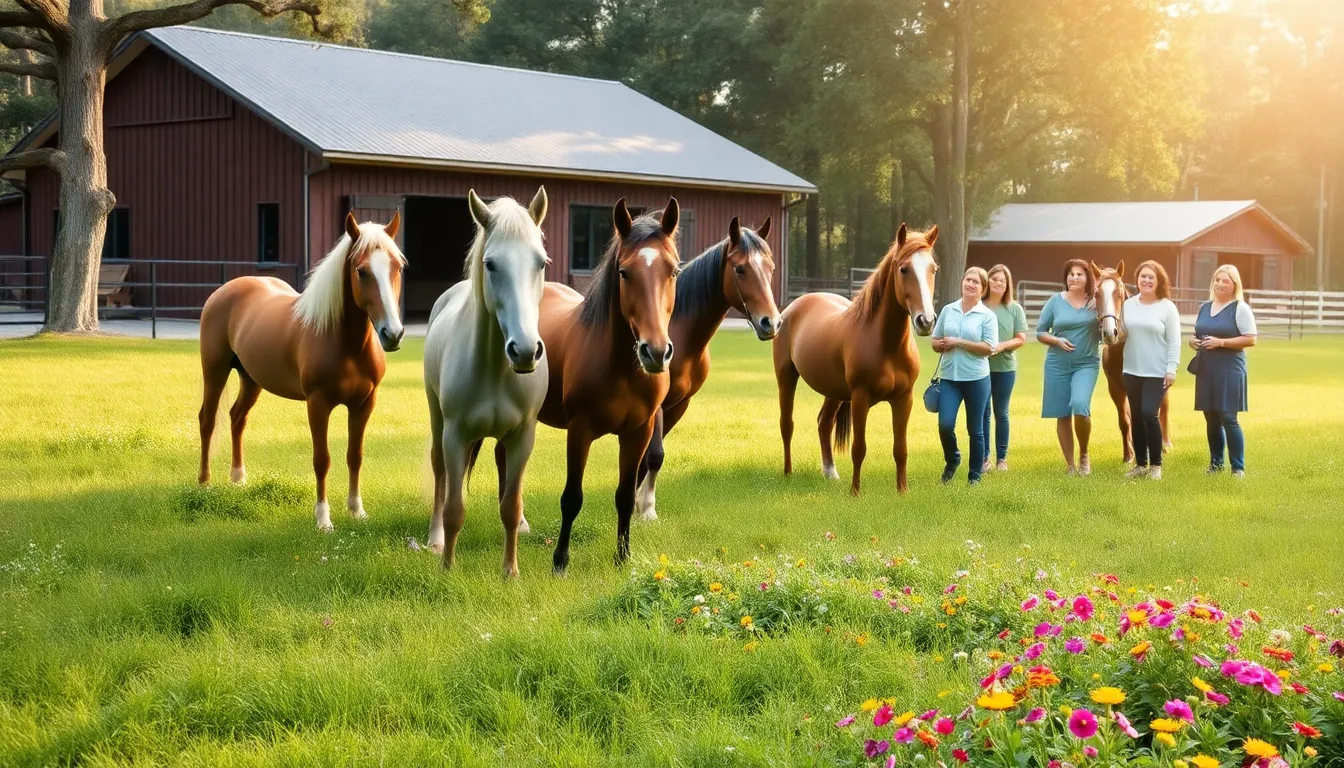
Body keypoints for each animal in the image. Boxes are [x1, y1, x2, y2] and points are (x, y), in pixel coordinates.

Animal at [197, 213, 405, 531]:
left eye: (397, 267)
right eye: (361, 271)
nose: (392, 334)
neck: (345, 345)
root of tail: (224, 291)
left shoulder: (363, 404)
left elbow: (354, 455)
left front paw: (356, 510)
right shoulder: (317, 404)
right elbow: (322, 459)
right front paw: (323, 520)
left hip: (251, 379)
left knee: (237, 417)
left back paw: (238, 478)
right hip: (215, 371)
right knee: (208, 420)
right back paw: (205, 483)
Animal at [424, 187, 549, 579]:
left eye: (541, 262)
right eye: (491, 264)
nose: (524, 350)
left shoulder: (523, 436)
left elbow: (510, 505)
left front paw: (510, 571)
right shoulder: (455, 435)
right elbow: (454, 508)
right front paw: (447, 567)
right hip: (436, 418)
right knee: (440, 474)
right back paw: (434, 539)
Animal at [537, 198, 681, 574]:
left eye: (674, 271)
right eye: (624, 272)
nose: (655, 351)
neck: (620, 370)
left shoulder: (638, 433)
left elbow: (625, 497)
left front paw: (622, 557)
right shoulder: (580, 430)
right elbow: (572, 498)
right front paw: (560, 562)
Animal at [633, 216, 783, 521]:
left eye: (771, 268)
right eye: (740, 269)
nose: (771, 323)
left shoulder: (679, 405)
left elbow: (649, 456)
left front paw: (638, 504)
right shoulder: (657, 406)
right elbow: (654, 453)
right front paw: (647, 510)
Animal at [773, 224, 939, 496]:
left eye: (933, 269)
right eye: (904, 269)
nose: (925, 321)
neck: (887, 345)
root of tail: (795, 305)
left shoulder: (904, 400)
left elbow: (900, 449)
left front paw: (902, 492)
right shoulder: (861, 399)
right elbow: (858, 448)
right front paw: (855, 493)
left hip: (834, 391)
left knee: (824, 423)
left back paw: (830, 473)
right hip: (786, 377)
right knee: (787, 424)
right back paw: (787, 473)